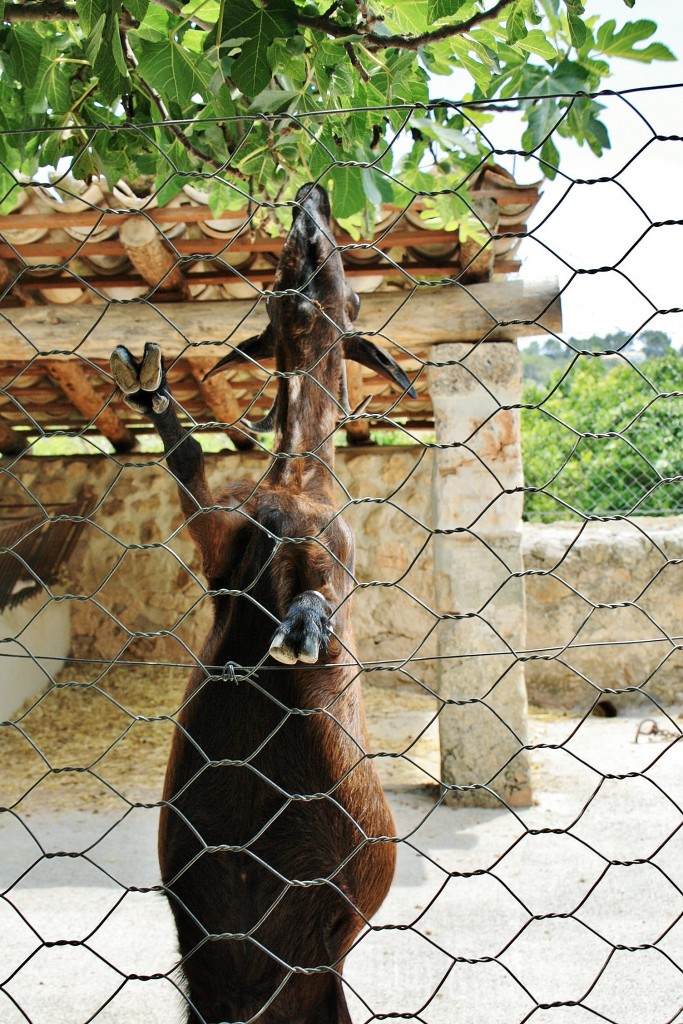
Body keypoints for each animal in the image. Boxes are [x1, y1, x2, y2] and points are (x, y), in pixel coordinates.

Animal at [111, 186, 417, 1024]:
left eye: (347, 287)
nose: (312, 197)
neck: (294, 483)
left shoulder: (334, 556)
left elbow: (321, 598)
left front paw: (300, 629)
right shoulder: (222, 553)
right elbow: (189, 465)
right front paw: (153, 394)